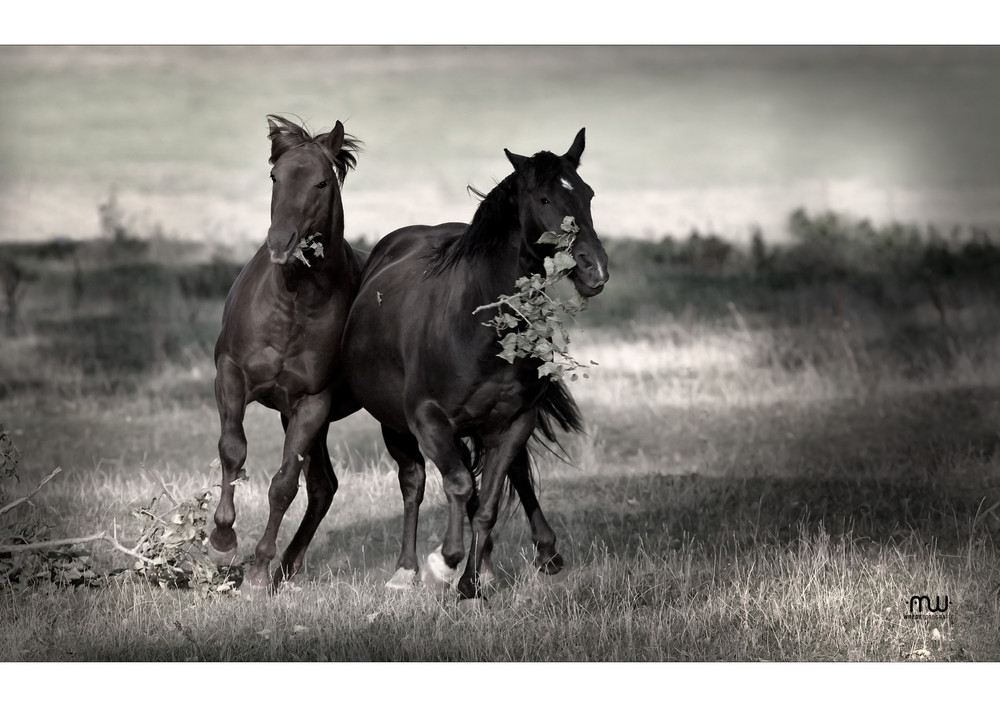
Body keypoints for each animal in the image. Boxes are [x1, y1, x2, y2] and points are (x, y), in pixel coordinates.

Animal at [209, 116, 366, 592]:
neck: (294, 305)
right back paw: (288, 565)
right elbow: (233, 450)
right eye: (275, 177)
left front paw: (258, 572)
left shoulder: (312, 404)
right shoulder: (231, 376)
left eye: (321, 182)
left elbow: (283, 485)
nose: (281, 241)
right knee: (324, 486)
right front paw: (222, 543)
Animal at [344, 130, 608, 600]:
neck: (475, 326)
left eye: (588, 194)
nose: (594, 269)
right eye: (544, 198)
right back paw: (405, 571)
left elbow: (487, 502)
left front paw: (471, 581)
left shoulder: (516, 420)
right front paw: (444, 563)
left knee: (509, 477)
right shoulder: (428, 420)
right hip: (395, 426)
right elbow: (459, 486)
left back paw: (528, 557)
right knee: (414, 484)